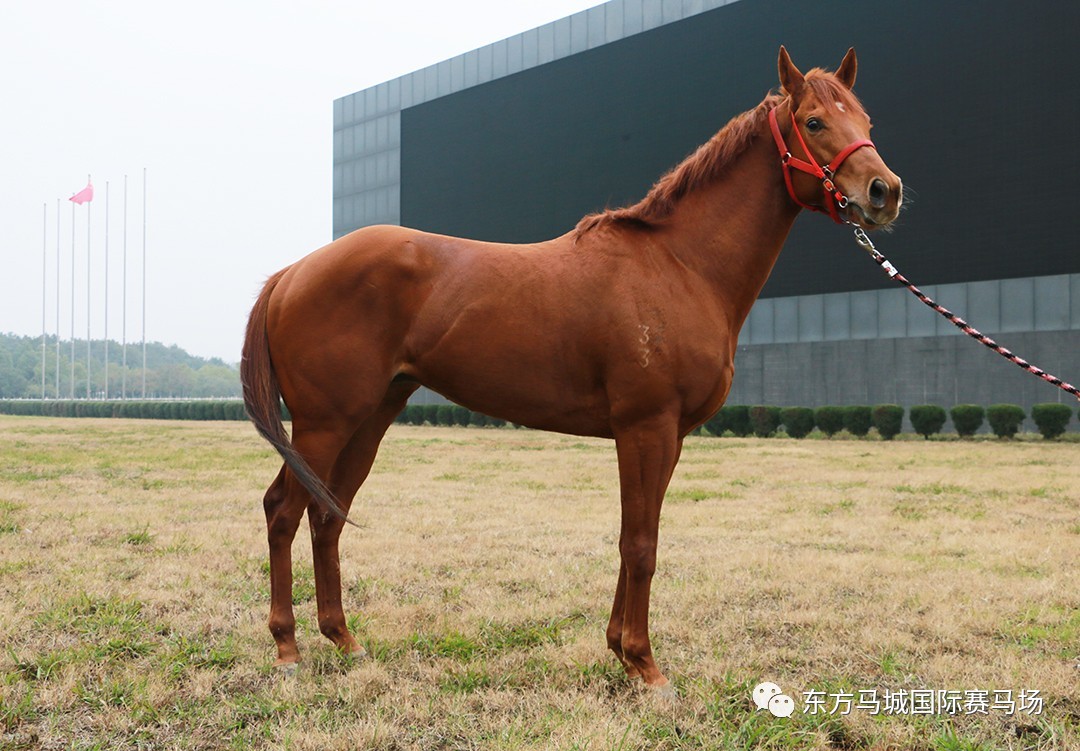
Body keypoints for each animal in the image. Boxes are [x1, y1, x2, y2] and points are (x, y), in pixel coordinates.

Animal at [243, 47, 902, 691]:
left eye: (866, 121)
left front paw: (621, 652)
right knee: (283, 511)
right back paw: (287, 649)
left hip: (371, 416)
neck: (679, 265)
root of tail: (293, 272)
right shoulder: (645, 428)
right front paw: (645, 664)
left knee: (327, 513)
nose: (884, 191)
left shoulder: (667, 437)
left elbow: (634, 538)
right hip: (325, 423)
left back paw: (345, 641)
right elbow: (641, 544)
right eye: (814, 122)